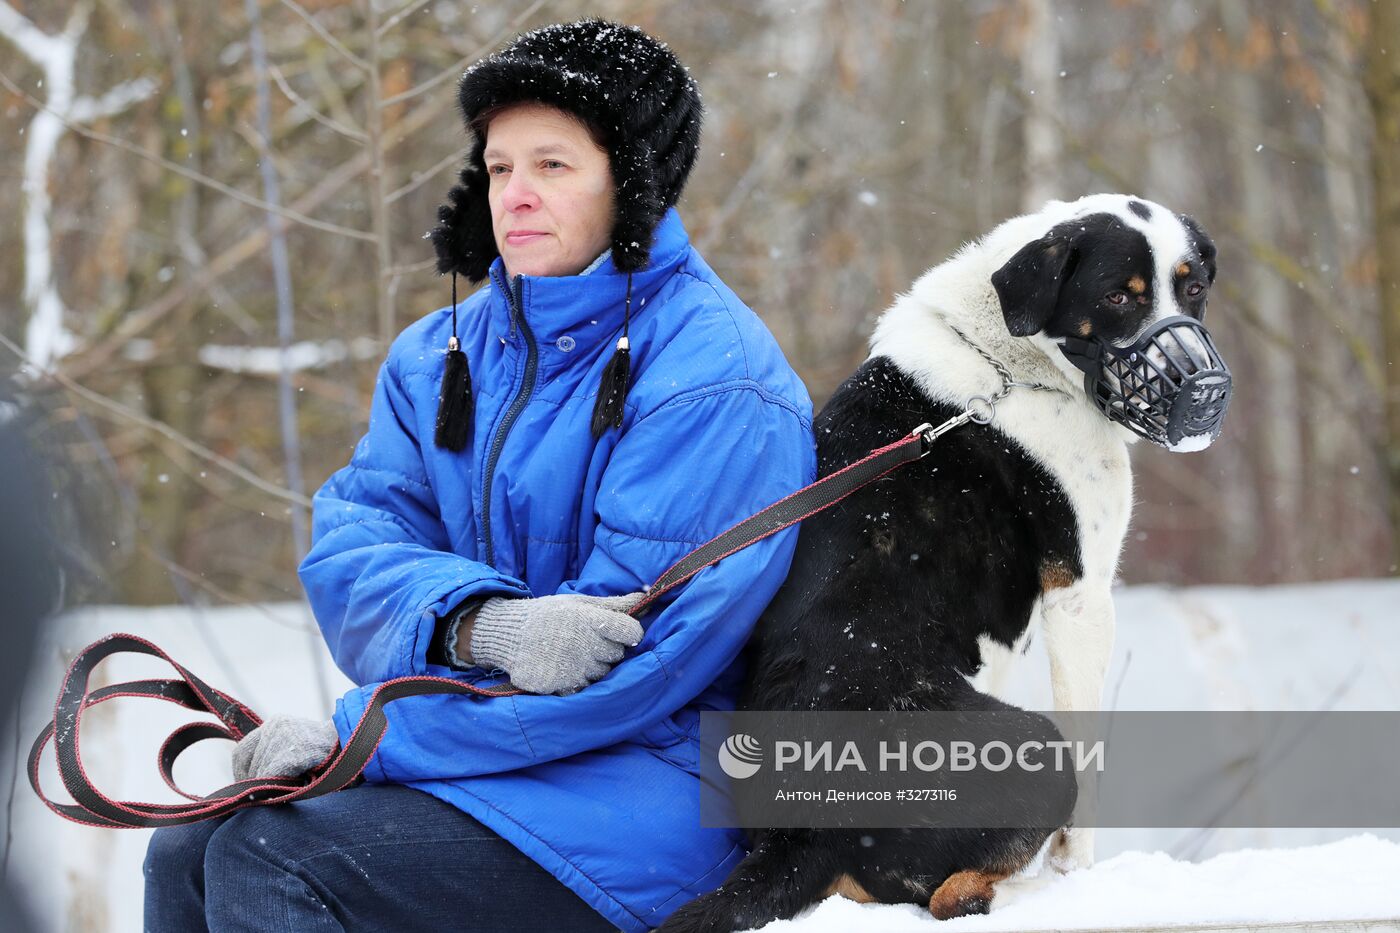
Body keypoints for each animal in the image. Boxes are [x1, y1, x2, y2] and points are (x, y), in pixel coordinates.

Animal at [660, 191, 1232, 924]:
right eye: (1116, 297)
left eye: (1194, 289)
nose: (1206, 392)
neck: (1012, 365)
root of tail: (801, 837)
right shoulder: (1082, 597)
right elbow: (1090, 767)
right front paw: (1078, 874)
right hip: (1037, 747)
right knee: (954, 895)